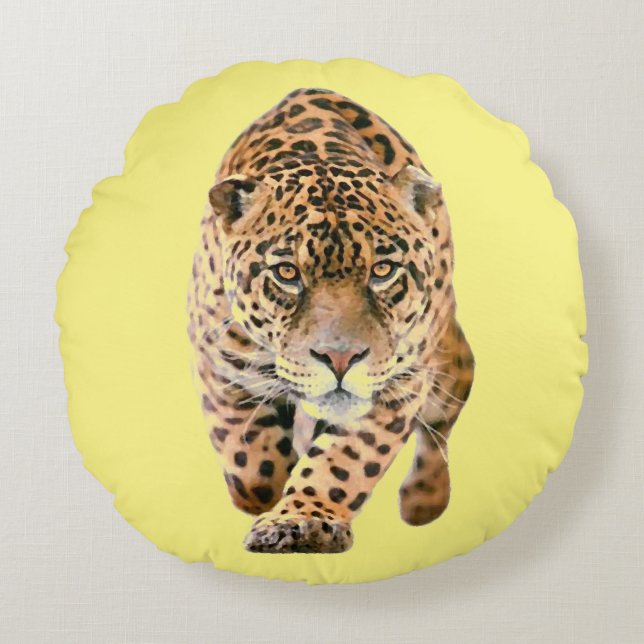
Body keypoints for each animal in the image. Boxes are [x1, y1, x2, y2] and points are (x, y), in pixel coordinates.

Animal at [187, 88, 474, 553]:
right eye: (287, 273)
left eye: (383, 270)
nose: (340, 359)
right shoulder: (222, 363)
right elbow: (250, 465)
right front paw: (271, 490)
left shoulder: (398, 384)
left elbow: (343, 463)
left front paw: (303, 521)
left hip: (451, 363)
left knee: (439, 429)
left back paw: (424, 499)